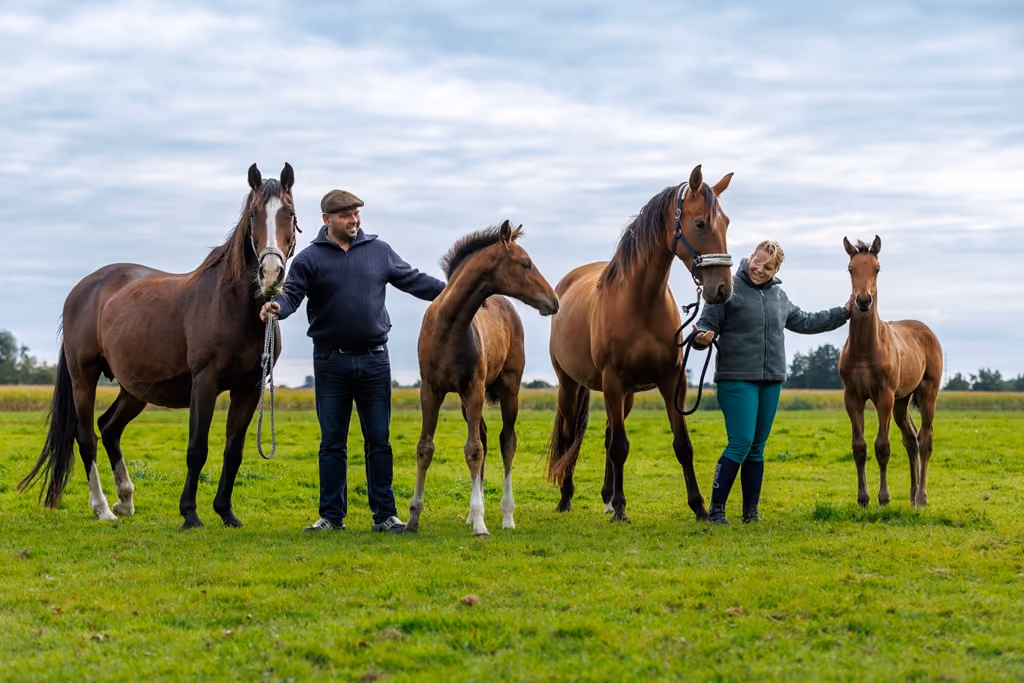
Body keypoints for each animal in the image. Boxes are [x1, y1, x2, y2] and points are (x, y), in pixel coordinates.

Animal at [18, 163, 298, 529]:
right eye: (253, 215)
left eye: (289, 213)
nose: (270, 275)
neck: (232, 305)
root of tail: (81, 290)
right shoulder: (204, 383)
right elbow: (197, 449)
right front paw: (190, 514)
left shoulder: (249, 388)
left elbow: (233, 450)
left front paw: (226, 512)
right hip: (84, 378)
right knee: (87, 437)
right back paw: (103, 508)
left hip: (135, 389)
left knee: (109, 428)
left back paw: (125, 500)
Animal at [408, 220, 559, 536]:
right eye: (525, 263)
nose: (554, 301)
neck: (449, 327)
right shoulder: (430, 389)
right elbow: (425, 448)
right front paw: (413, 518)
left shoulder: (474, 388)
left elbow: (474, 450)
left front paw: (480, 523)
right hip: (466, 403)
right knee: (488, 438)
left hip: (509, 388)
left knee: (507, 441)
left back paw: (506, 515)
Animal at [546, 165, 734, 523]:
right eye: (700, 223)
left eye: (727, 223)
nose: (722, 289)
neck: (641, 302)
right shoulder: (613, 381)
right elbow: (620, 446)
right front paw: (621, 508)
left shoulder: (670, 381)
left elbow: (682, 445)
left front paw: (700, 507)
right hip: (571, 384)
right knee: (570, 436)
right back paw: (566, 497)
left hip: (625, 395)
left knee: (607, 434)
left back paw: (606, 497)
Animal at [838, 235, 942, 508]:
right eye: (850, 269)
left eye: (877, 268)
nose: (863, 301)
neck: (865, 348)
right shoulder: (852, 396)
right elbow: (859, 447)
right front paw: (863, 498)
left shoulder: (884, 396)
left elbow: (882, 446)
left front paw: (883, 498)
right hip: (902, 401)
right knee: (911, 439)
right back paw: (912, 494)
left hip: (926, 393)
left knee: (925, 439)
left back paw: (921, 497)